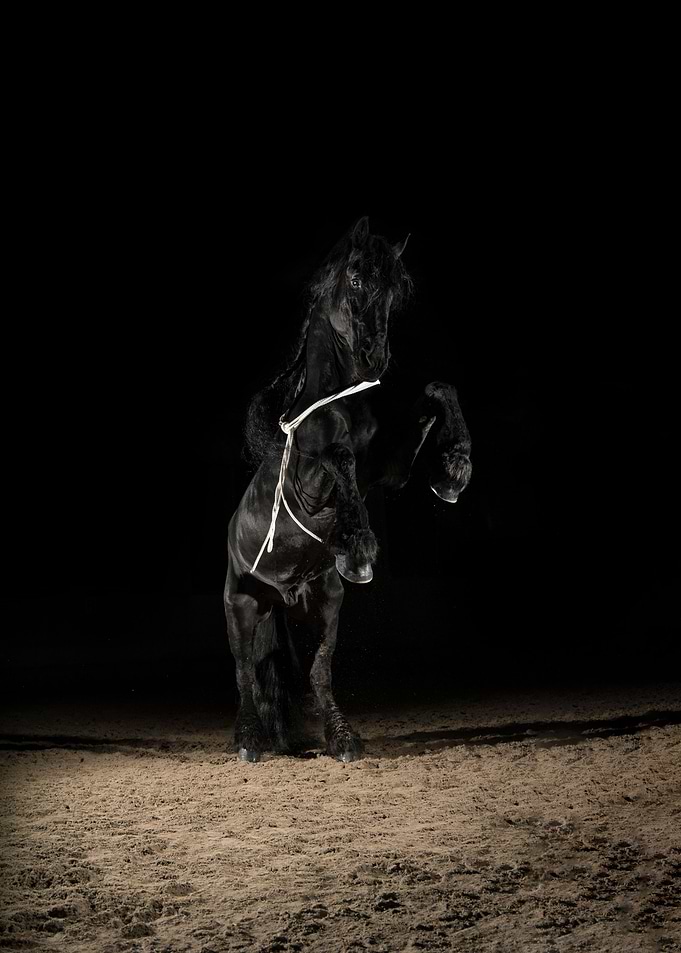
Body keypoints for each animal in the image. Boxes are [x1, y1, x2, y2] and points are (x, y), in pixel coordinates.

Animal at [224, 216, 472, 762]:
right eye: (355, 279)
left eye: (395, 291)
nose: (373, 357)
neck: (337, 405)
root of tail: (281, 595)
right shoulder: (312, 481)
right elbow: (338, 458)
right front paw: (357, 545)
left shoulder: (388, 470)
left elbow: (438, 391)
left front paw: (453, 471)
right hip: (241, 605)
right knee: (245, 674)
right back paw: (248, 739)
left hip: (324, 604)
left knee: (318, 672)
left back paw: (342, 739)